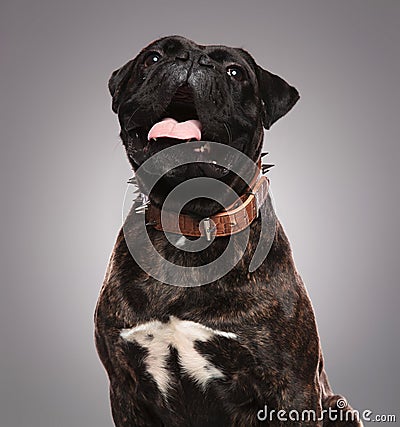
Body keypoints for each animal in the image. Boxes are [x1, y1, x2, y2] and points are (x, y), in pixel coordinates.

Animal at [94, 35, 362, 426]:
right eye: (153, 58)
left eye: (235, 72)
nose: (190, 58)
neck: (193, 222)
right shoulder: (126, 388)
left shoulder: (293, 389)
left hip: (338, 406)